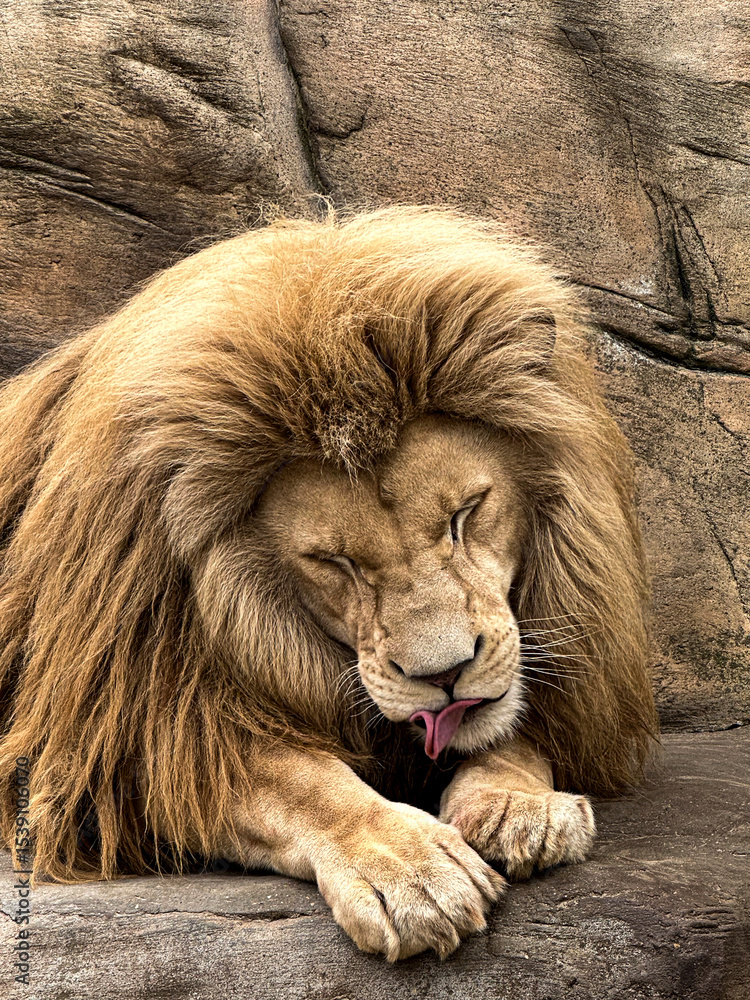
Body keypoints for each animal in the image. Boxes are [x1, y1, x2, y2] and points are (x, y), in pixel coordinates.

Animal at [0, 206, 657, 961]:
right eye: (334, 563)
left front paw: (519, 806)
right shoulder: (121, 745)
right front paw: (411, 871)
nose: (444, 676)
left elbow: (515, 727)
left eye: (465, 514)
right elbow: (302, 783)